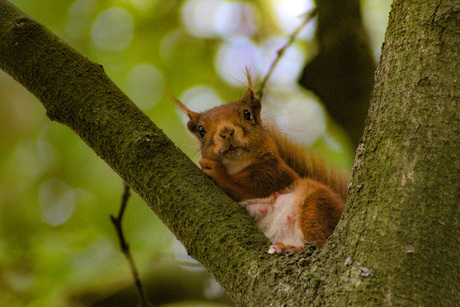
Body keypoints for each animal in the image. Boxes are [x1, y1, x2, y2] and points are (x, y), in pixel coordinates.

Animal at [172, 72, 348, 255]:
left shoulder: (277, 171)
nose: (226, 131)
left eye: (247, 114)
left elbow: (253, 184)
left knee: (319, 239)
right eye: (201, 130)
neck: (236, 165)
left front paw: (217, 171)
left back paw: (292, 248)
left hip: (316, 205)